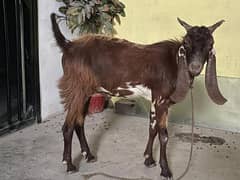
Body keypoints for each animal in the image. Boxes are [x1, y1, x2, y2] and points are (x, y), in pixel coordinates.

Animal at [49, 13, 226, 179]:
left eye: (210, 45)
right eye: (187, 43)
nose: (194, 67)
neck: (175, 62)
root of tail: (68, 46)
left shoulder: (157, 100)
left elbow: (152, 129)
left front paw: (149, 159)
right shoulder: (161, 99)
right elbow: (164, 135)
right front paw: (165, 170)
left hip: (86, 91)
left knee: (79, 123)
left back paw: (89, 155)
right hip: (76, 88)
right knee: (68, 126)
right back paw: (69, 165)